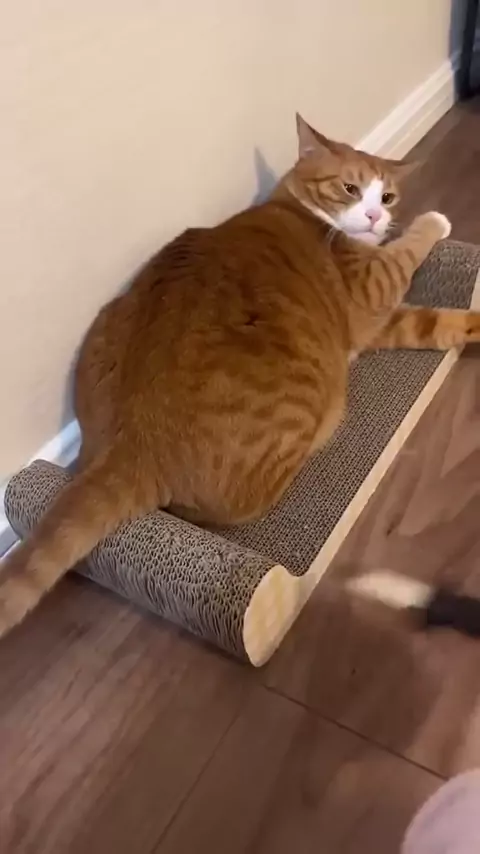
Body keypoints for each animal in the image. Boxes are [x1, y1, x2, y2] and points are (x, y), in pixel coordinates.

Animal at [1, 113, 479, 639]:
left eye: (388, 196)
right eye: (350, 188)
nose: (376, 217)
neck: (304, 212)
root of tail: (137, 438)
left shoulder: (383, 321)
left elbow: (434, 323)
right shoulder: (373, 288)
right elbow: (408, 253)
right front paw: (433, 222)